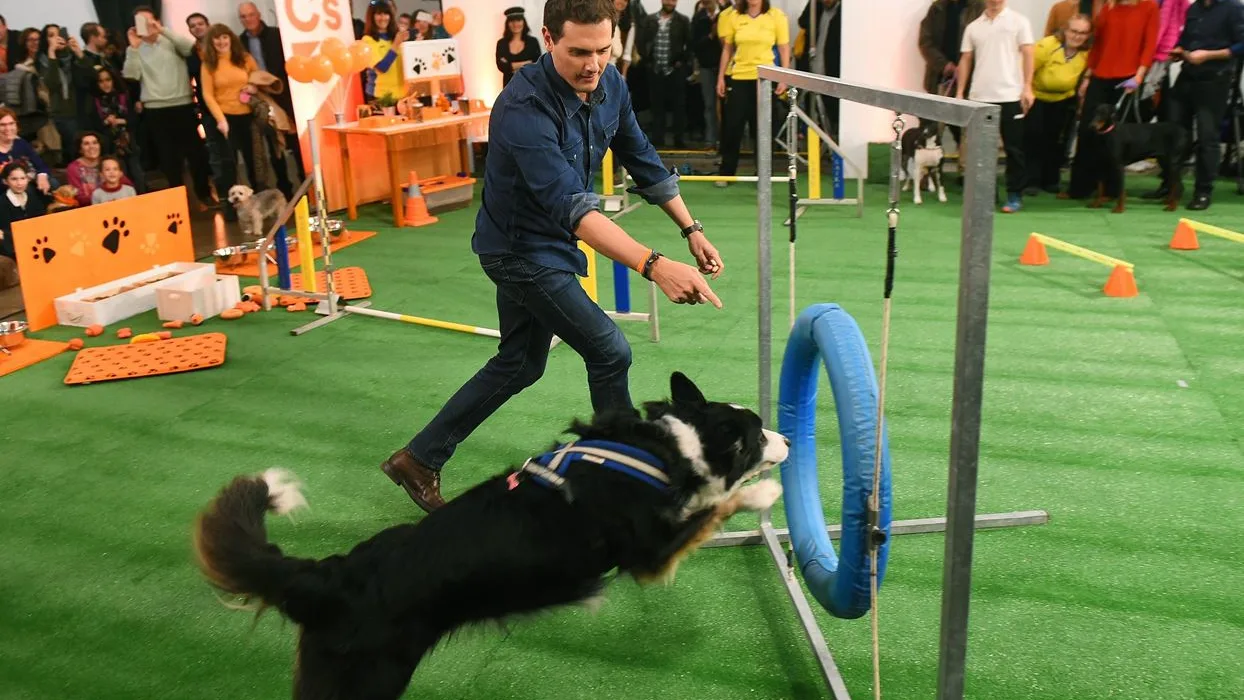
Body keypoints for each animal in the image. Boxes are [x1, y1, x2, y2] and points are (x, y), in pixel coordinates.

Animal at [196, 373, 786, 700]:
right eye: (757, 436)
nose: (784, 437)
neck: (670, 449)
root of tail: (330, 576)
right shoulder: (648, 550)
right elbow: (710, 510)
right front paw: (762, 495)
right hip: (367, 678)